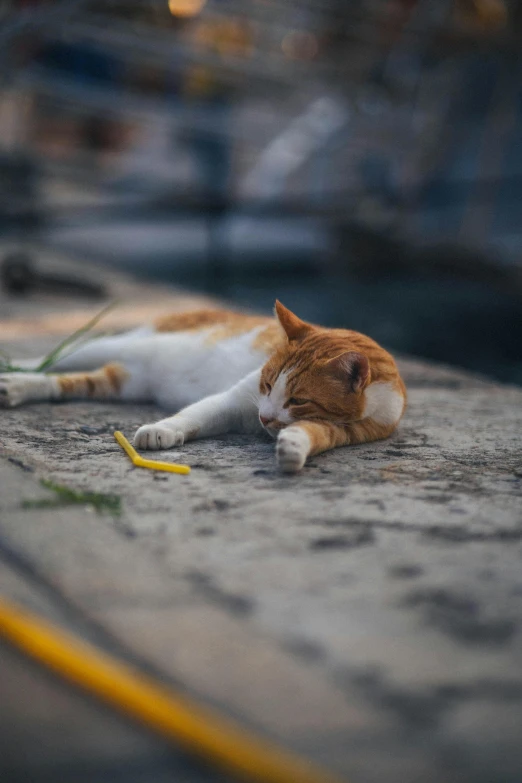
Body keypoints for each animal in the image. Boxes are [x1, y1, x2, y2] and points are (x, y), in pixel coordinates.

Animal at [0, 300, 404, 472]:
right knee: (51, 360)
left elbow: (312, 434)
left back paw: (17, 389)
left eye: (298, 400)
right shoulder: (235, 400)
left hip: (125, 382)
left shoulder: (346, 430)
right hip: (120, 344)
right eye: (266, 383)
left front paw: (293, 447)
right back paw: (17, 372)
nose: (265, 418)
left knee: (65, 382)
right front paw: (161, 430)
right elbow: (196, 414)